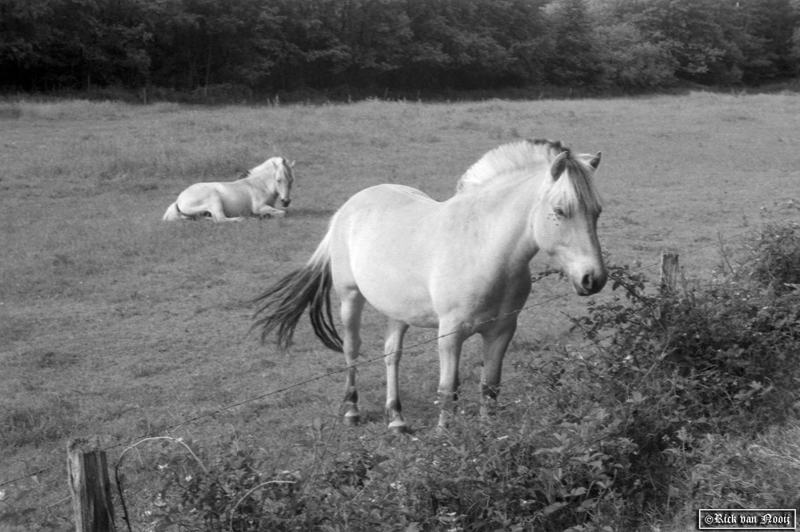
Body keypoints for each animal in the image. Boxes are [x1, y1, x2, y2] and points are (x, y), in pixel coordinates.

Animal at [164, 157, 296, 221]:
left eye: (291, 180)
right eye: (278, 180)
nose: (286, 201)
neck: (259, 185)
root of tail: (178, 200)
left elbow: (283, 212)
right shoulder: (259, 208)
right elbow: (283, 213)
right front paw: (265, 215)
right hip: (214, 200)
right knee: (220, 219)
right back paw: (245, 218)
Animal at [253, 139, 604, 430]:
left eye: (597, 211)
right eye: (560, 211)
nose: (594, 278)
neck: (483, 249)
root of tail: (346, 209)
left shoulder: (502, 330)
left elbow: (490, 386)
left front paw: (490, 436)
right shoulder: (450, 333)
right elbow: (448, 389)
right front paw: (444, 440)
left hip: (397, 310)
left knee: (391, 354)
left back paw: (396, 418)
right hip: (350, 299)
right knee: (352, 350)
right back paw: (352, 410)